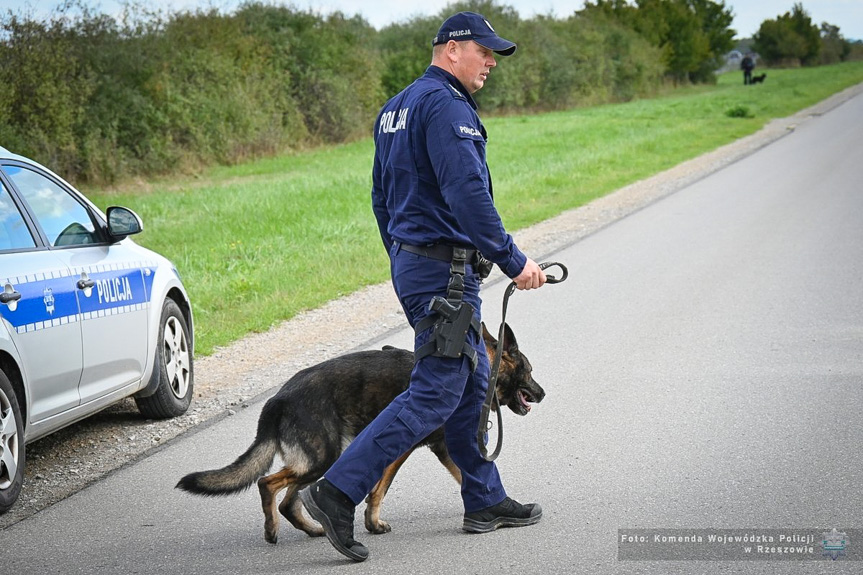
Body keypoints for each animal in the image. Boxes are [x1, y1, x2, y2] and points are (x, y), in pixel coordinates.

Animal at [177, 324, 548, 544]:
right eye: (529, 371)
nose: (543, 393)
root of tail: (277, 399)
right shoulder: (406, 448)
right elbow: (382, 488)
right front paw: (373, 522)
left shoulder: (432, 447)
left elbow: (460, 475)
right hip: (324, 457)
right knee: (268, 484)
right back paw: (272, 530)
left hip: (319, 461)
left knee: (289, 501)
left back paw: (314, 528)